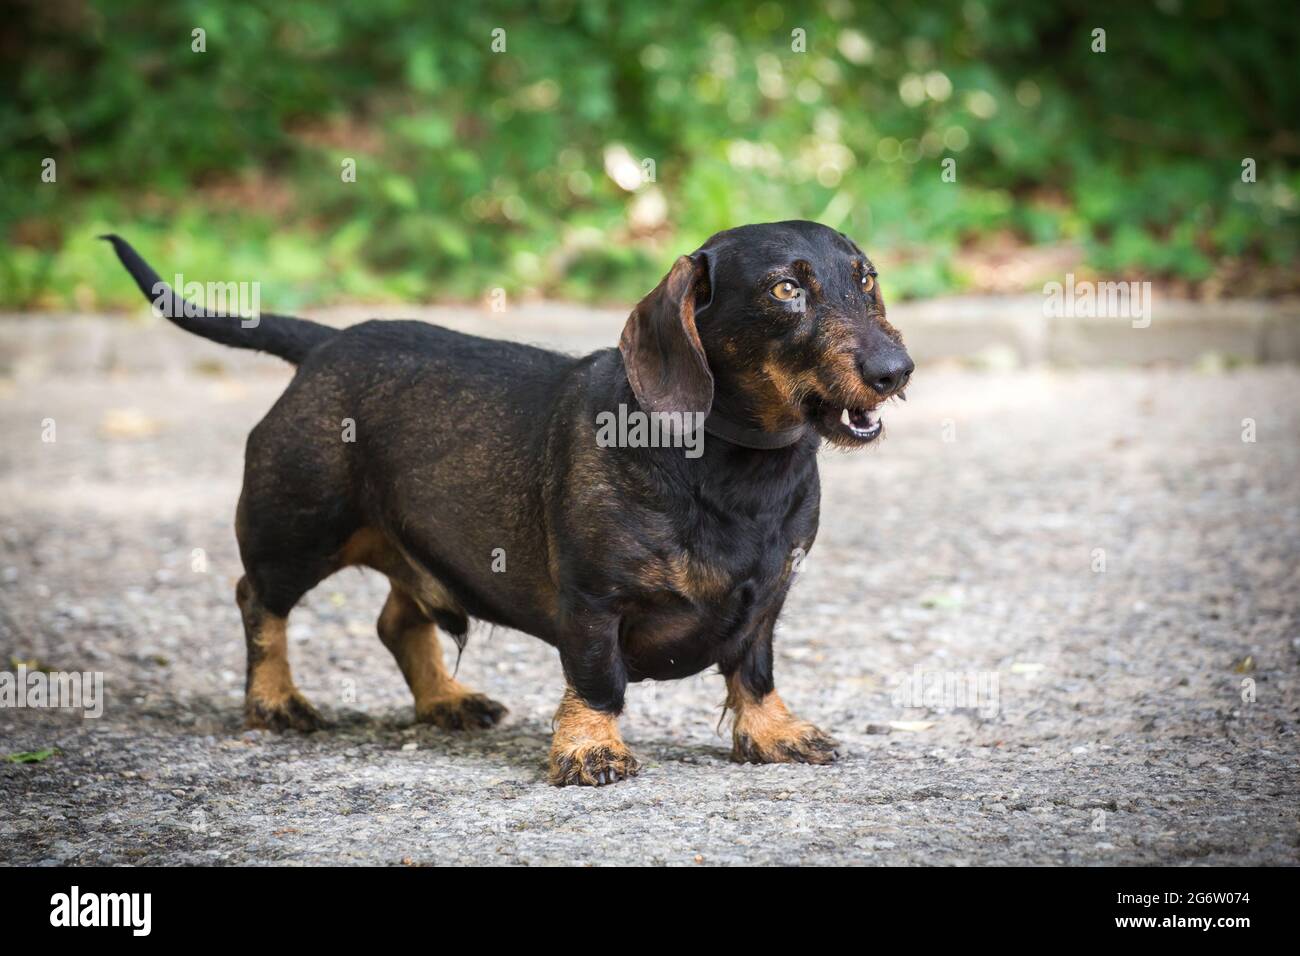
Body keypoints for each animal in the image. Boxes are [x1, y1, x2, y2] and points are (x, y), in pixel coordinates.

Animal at [104, 222, 915, 785]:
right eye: (786, 290)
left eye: (867, 278)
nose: (896, 370)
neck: (738, 470)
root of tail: (328, 343)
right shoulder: (592, 600)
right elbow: (597, 680)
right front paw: (590, 748)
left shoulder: (769, 596)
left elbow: (754, 670)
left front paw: (775, 732)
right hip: (298, 529)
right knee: (259, 601)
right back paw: (275, 701)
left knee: (398, 620)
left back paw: (446, 700)